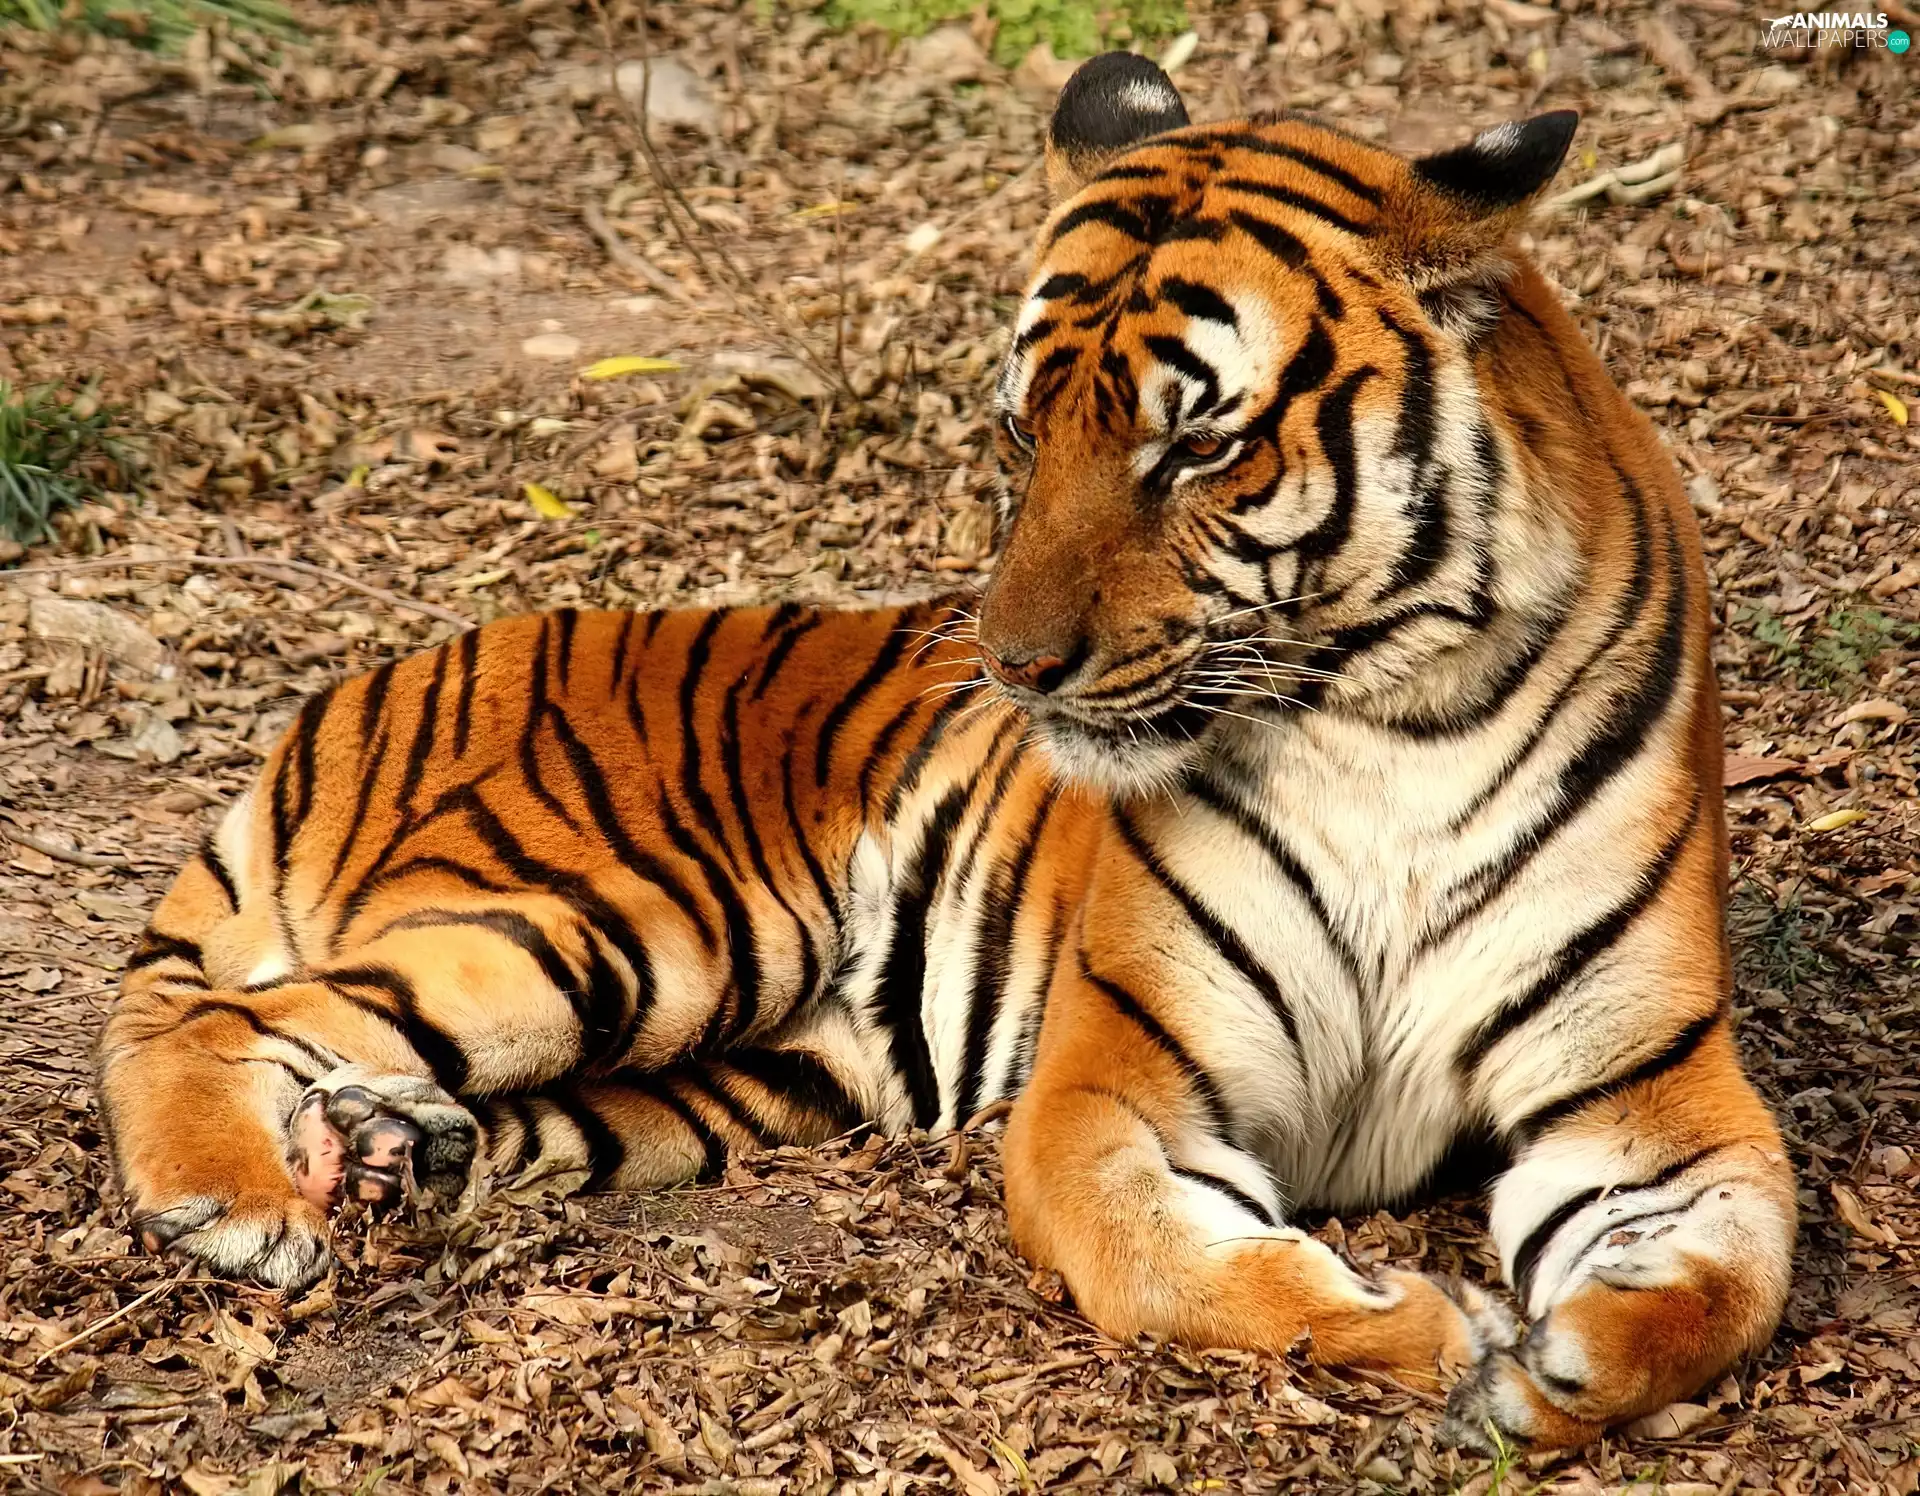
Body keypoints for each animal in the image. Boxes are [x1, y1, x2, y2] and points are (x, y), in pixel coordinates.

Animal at [96, 52, 1796, 1452]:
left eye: (1197, 444)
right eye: (1022, 432)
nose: (1015, 667)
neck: (1387, 719)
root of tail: (370, 683)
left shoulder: (1648, 1098)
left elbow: (1732, 1279)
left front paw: (1564, 1362)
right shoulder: (1117, 1084)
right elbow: (1178, 1267)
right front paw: (1431, 1332)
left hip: (755, 1067)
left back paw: (393, 1157)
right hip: (634, 922)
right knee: (226, 1018)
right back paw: (235, 1205)